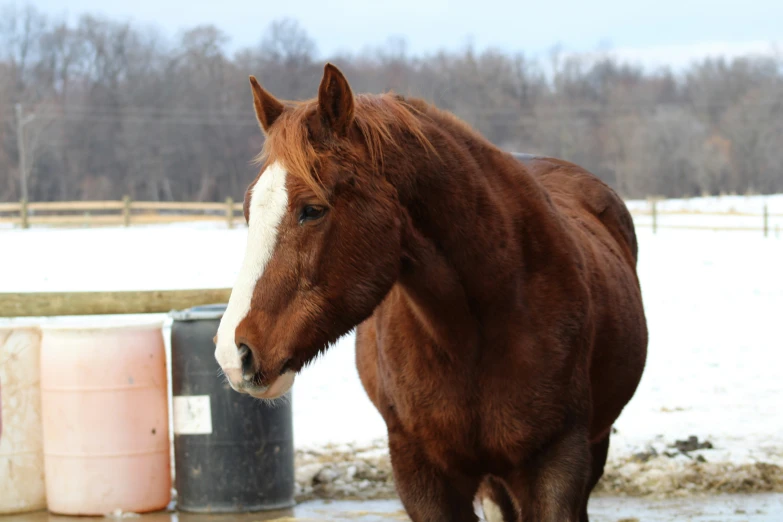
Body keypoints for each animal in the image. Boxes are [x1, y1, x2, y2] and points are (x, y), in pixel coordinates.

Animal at [216, 63, 648, 516]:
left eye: (312, 210)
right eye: (248, 210)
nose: (234, 354)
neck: (470, 336)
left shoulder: (557, 465)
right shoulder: (421, 474)